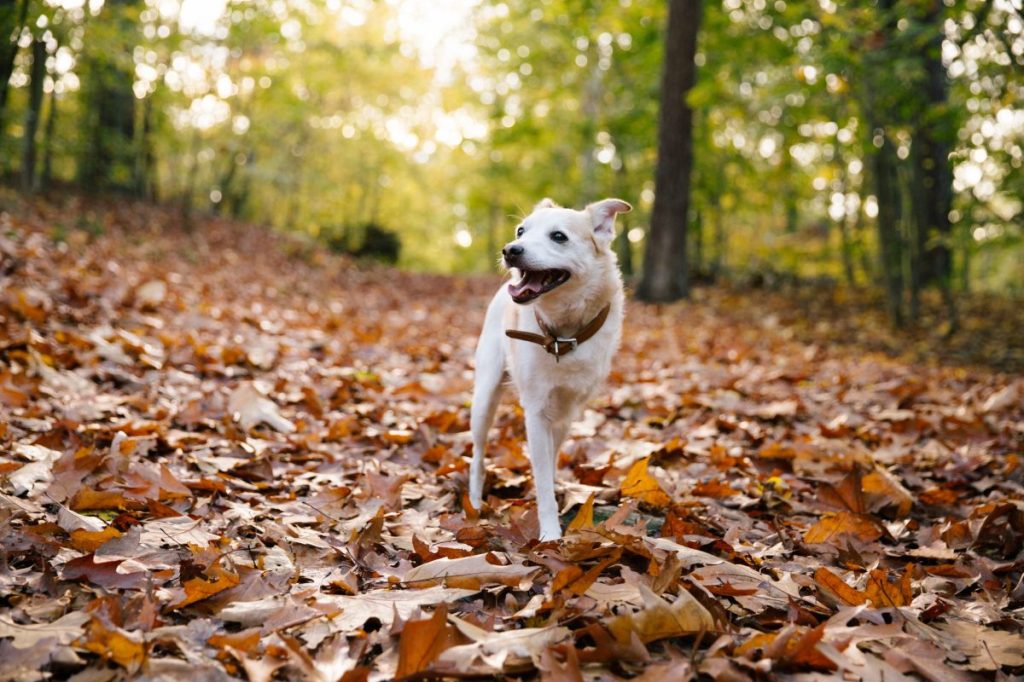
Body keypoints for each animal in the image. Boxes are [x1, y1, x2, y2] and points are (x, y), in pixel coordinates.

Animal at [471, 195, 630, 536]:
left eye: (559, 236)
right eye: (521, 230)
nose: (510, 249)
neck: (563, 335)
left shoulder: (566, 412)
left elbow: (551, 462)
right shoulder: (536, 412)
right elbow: (543, 480)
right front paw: (549, 534)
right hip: (484, 400)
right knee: (477, 456)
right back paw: (474, 503)